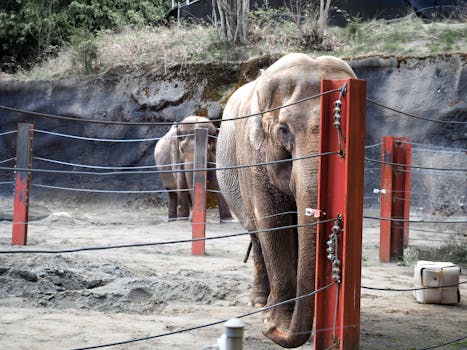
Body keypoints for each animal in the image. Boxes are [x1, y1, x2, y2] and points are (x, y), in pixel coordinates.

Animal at [218, 52, 356, 348]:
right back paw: (260, 304)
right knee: (257, 237)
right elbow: (274, 223)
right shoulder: (253, 157)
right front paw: (276, 323)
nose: (269, 332)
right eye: (283, 130)